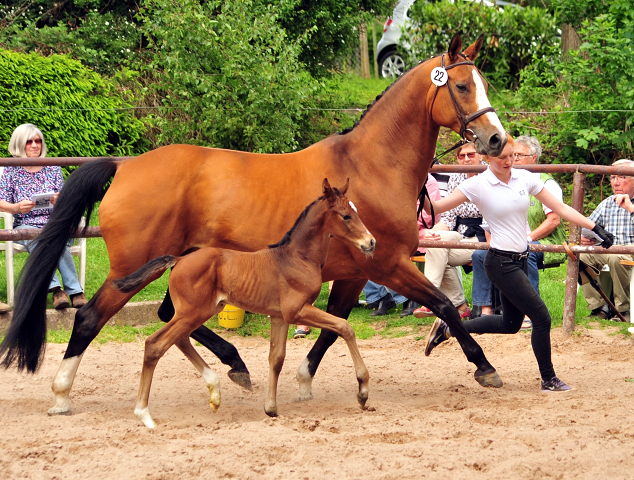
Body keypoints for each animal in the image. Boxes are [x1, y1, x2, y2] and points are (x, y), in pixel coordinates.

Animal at [113, 177, 372, 428]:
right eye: (346, 215)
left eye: (357, 211)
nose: (371, 242)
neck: (296, 258)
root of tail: (178, 259)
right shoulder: (297, 311)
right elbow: (344, 327)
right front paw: (362, 391)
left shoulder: (279, 316)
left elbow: (276, 358)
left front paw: (271, 408)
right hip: (193, 312)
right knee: (155, 344)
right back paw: (144, 414)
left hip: (197, 312)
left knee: (180, 340)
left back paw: (215, 391)